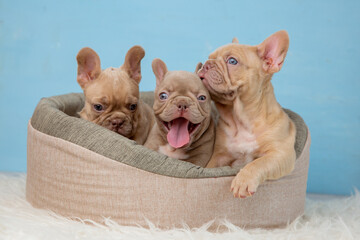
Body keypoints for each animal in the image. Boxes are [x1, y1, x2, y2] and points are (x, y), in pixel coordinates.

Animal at [198, 30, 296, 199]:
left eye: (232, 61)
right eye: (209, 57)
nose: (206, 64)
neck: (241, 119)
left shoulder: (281, 154)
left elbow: (258, 163)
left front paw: (243, 181)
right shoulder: (219, 155)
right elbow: (210, 167)